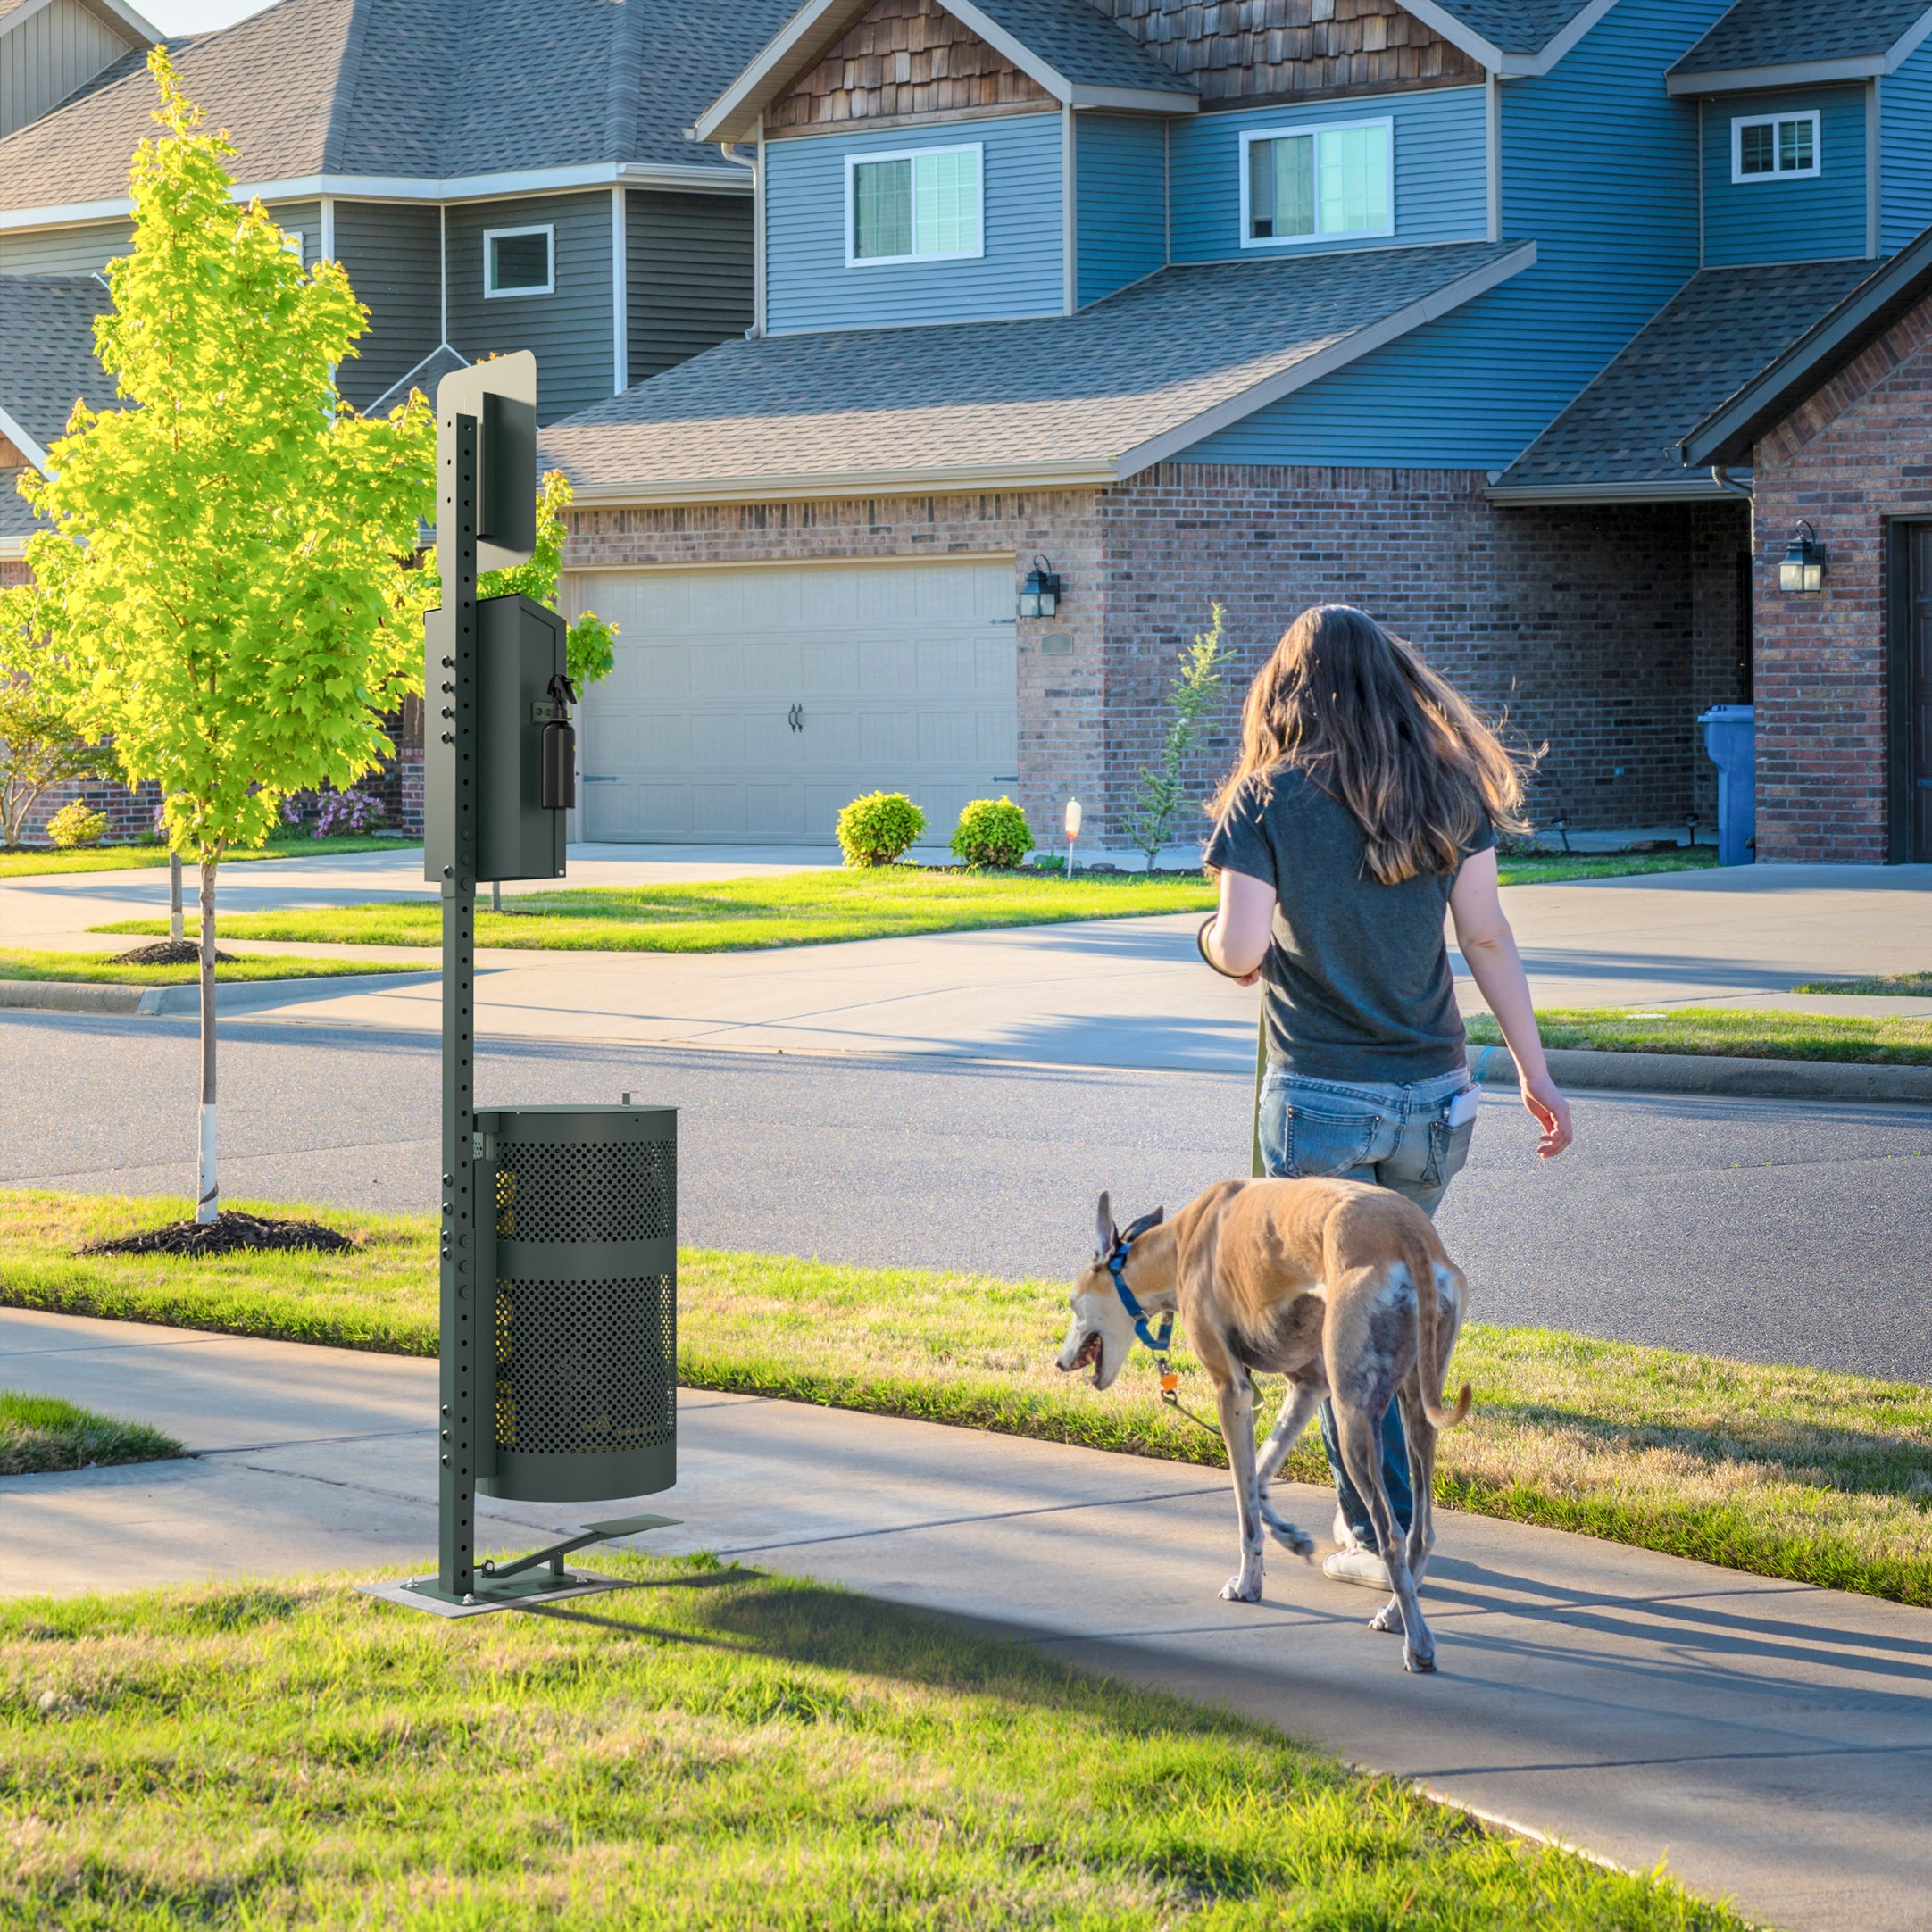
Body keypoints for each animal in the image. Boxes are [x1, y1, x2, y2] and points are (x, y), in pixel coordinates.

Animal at [1058, 1174, 1460, 1677]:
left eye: (1073, 1303)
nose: (1059, 1362)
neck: (1181, 1242)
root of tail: (1411, 1233)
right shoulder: (1311, 1383)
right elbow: (1261, 1476)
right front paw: (1291, 1536)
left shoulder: (1231, 1390)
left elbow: (1243, 1500)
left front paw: (1248, 1584)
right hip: (1416, 1402)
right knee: (1420, 1533)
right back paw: (1393, 1615)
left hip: (1353, 1414)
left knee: (1390, 1535)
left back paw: (1418, 1644)